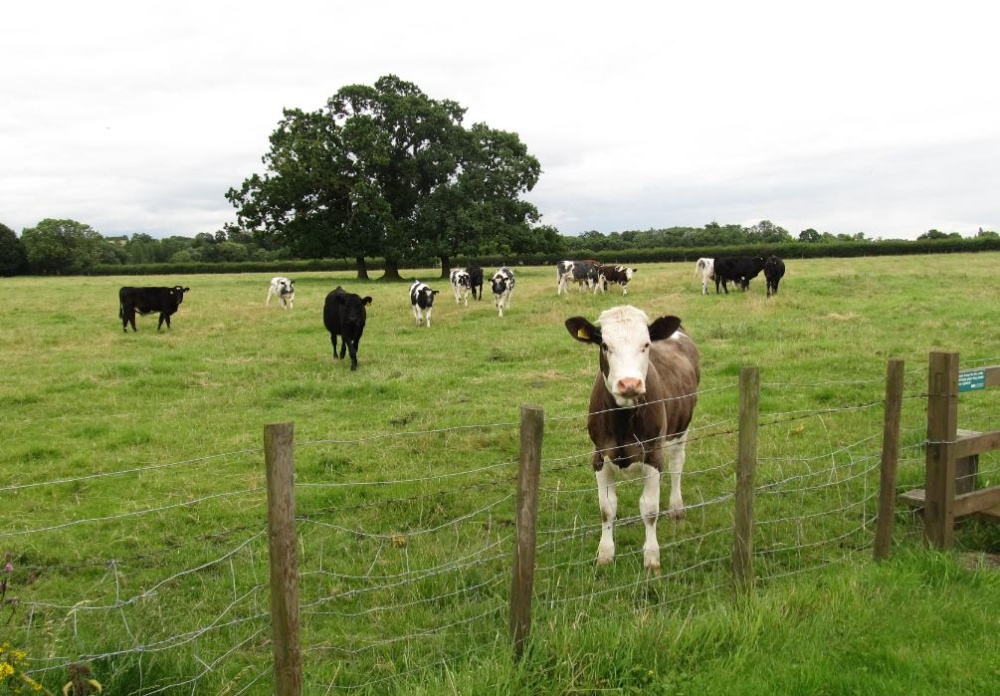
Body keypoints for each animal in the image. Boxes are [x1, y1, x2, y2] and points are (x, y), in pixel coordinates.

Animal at [565, 305, 700, 571]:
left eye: (646, 344)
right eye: (604, 345)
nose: (629, 383)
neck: (622, 421)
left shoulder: (653, 455)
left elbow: (649, 509)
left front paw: (652, 558)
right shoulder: (599, 456)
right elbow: (606, 508)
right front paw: (605, 554)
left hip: (681, 428)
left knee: (677, 464)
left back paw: (676, 509)